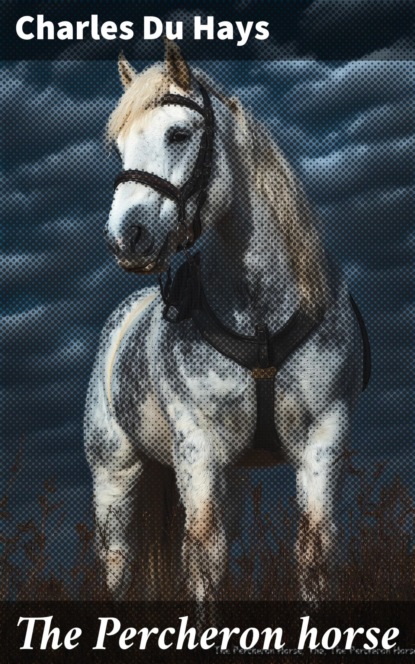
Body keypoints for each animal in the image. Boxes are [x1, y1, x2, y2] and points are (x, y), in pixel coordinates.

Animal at [84, 41, 369, 602]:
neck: (261, 320)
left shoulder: (323, 442)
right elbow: (204, 564)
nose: (126, 238)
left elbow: (314, 559)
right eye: (120, 147)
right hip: (115, 477)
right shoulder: (198, 452)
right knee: (119, 567)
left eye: (178, 133)